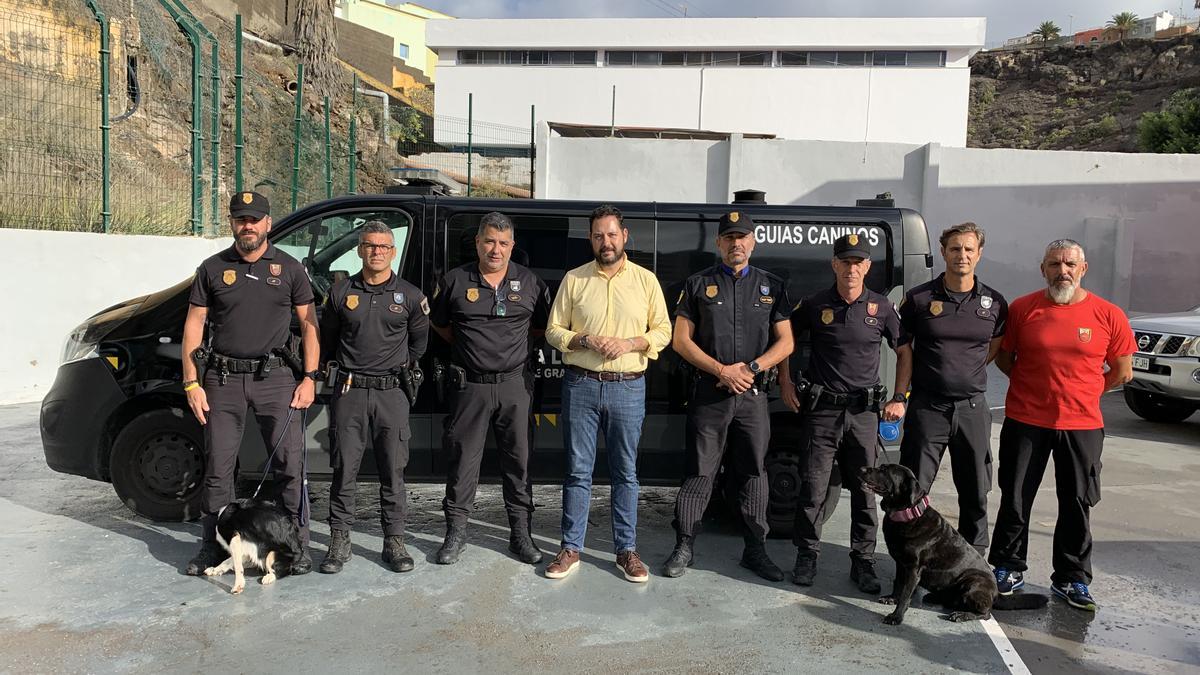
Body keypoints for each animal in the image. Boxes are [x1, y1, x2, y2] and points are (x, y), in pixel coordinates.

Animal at [859, 461, 1046, 619]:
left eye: (884, 470)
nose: (861, 469)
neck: (908, 515)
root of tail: (995, 592)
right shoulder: (901, 564)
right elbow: (898, 583)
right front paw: (892, 598)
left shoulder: (913, 569)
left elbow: (906, 594)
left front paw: (896, 617)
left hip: (972, 583)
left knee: (985, 613)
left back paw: (962, 615)